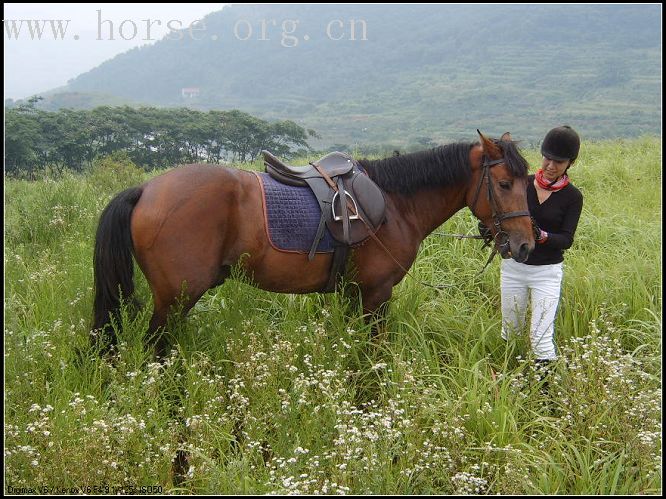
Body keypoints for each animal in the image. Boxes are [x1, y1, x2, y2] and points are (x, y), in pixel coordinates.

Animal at [91, 130, 532, 356]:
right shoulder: (377, 295)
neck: (395, 202)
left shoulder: (354, 294)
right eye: (504, 184)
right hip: (175, 299)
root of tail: (145, 190)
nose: (527, 245)